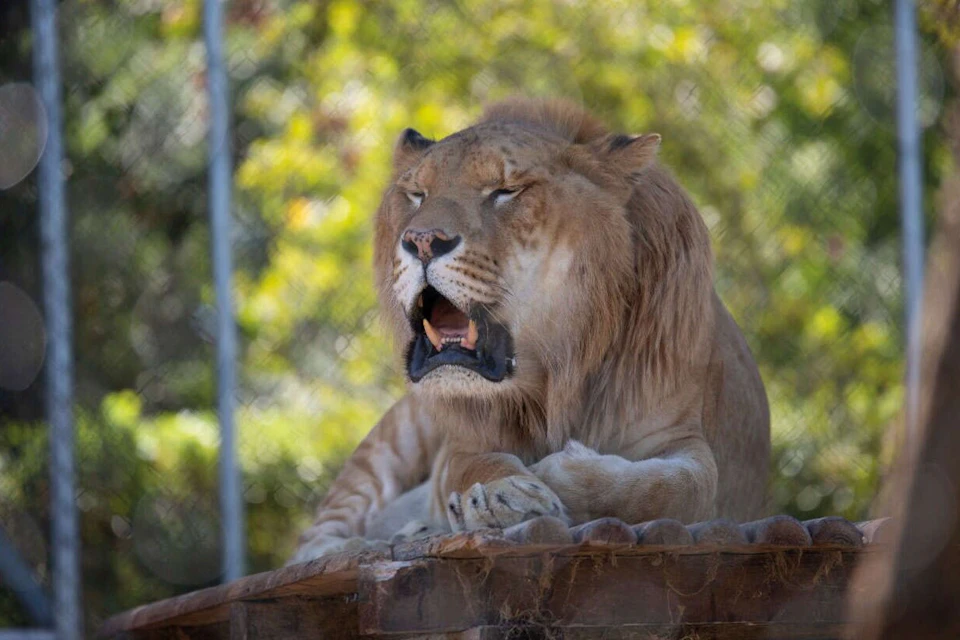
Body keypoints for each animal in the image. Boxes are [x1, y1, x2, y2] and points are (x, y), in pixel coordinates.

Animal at [291, 98, 770, 562]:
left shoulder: (682, 438)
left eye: (505, 192)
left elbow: (674, 489)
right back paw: (363, 545)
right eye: (416, 195)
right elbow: (474, 465)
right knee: (313, 540)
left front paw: (557, 470)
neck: (556, 378)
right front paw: (501, 494)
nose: (421, 241)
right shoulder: (462, 443)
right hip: (392, 442)